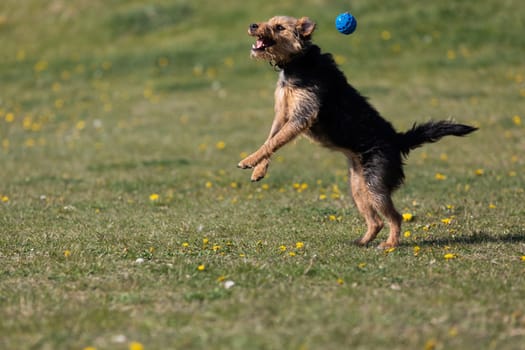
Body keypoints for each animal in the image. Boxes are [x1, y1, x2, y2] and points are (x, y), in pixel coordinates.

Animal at [237, 15, 474, 247]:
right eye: (268, 21)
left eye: (279, 27)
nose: (253, 25)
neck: (298, 61)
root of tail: (397, 140)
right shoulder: (282, 114)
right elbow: (270, 140)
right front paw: (258, 169)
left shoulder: (302, 115)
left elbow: (274, 142)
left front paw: (248, 160)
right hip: (358, 187)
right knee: (376, 221)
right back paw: (362, 241)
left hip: (376, 184)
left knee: (395, 217)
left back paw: (389, 244)